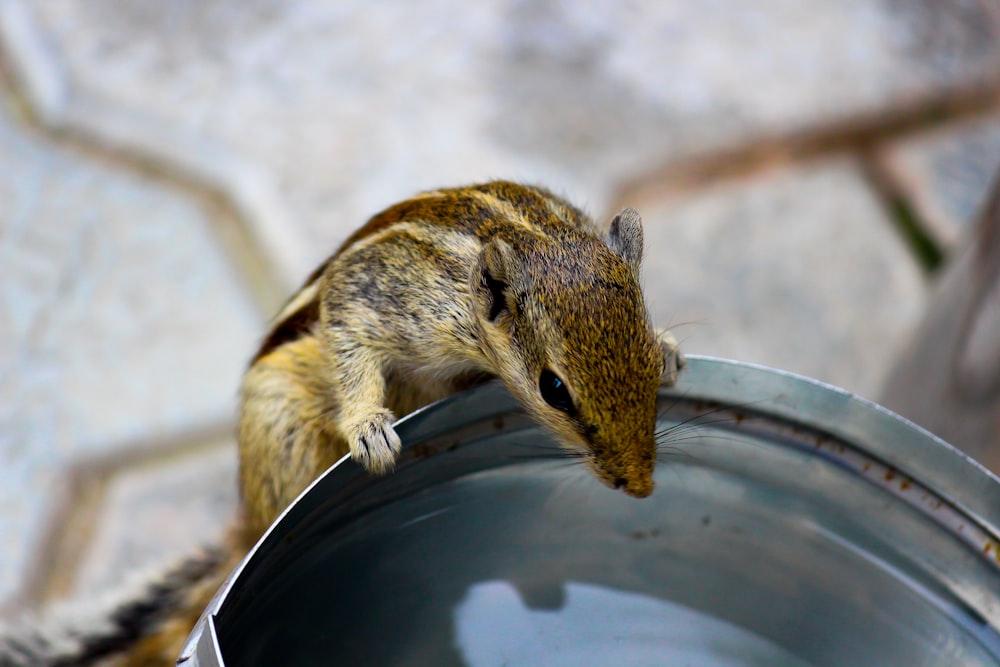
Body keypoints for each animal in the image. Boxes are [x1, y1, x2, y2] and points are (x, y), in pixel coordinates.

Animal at [0, 180, 684, 664]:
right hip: (281, 424)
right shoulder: (384, 296)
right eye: (554, 389)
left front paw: (675, 350)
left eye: (646, 357)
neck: (536, 237)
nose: (642, 487)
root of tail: (245, 520)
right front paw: (368, 429)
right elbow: (351, 338)